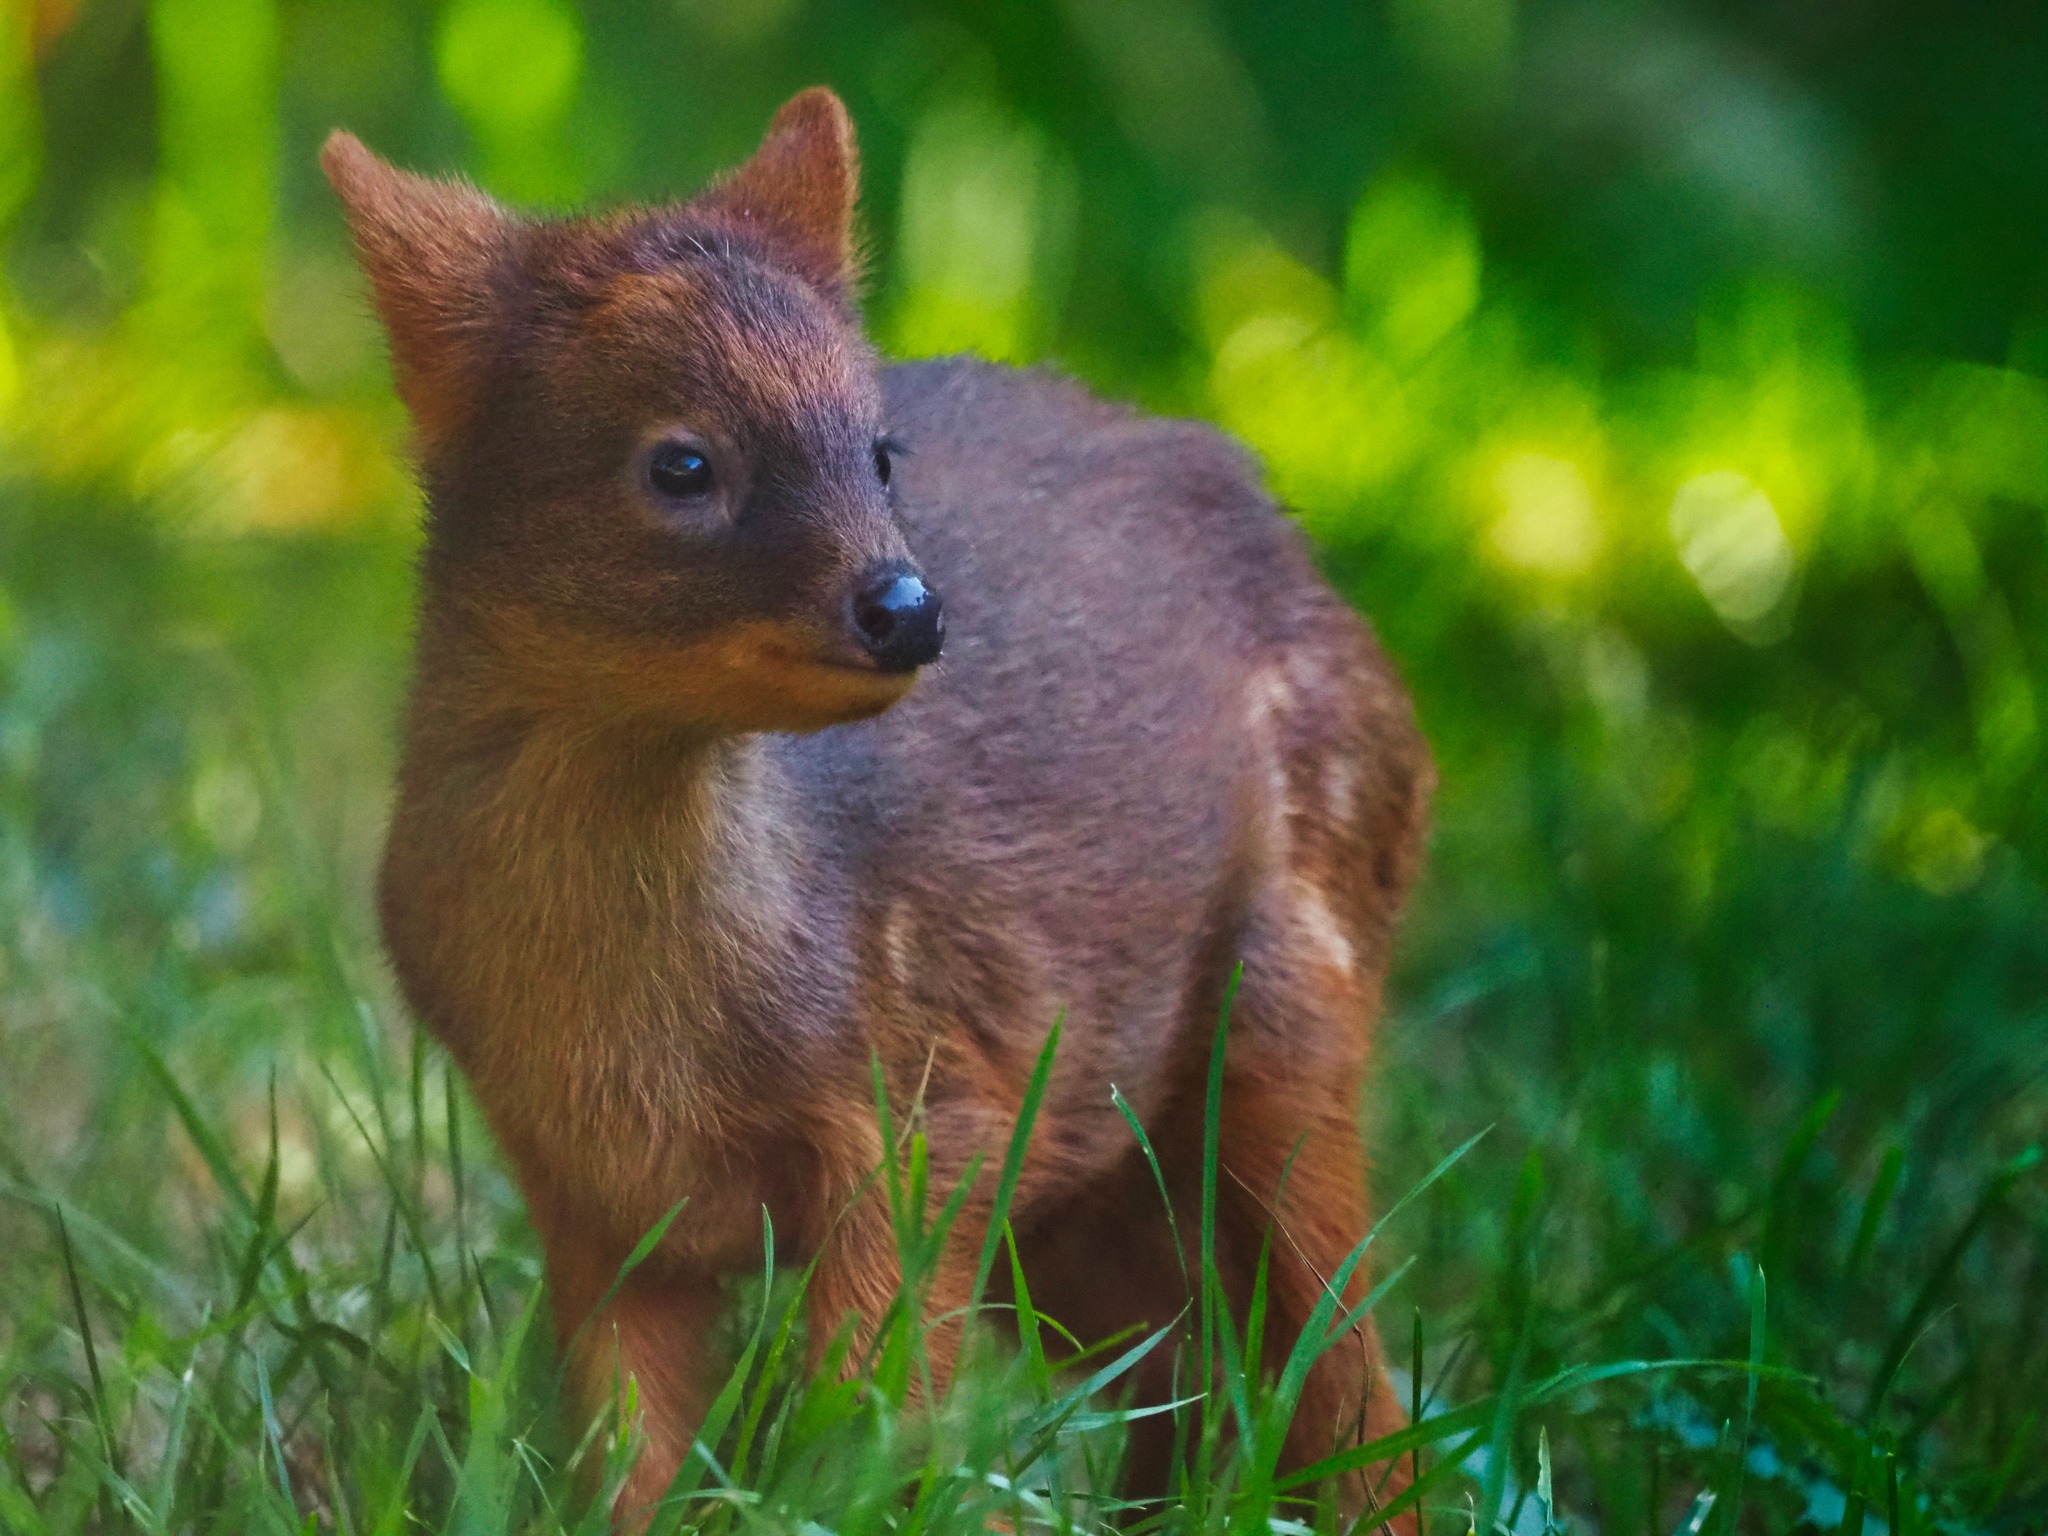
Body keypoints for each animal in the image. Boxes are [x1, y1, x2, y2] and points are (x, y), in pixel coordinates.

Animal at [327, 90, 1433, 1531]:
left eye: (878, 447)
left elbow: (869, 1416)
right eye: (680, 461)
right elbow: (628, 1460)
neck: (632, 1037)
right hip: (1092, 1184)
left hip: (1293, 986)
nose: (907, 607)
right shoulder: (588, 1197)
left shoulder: (932, 1106)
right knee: (1196, 1368)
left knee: (1347, 1364)